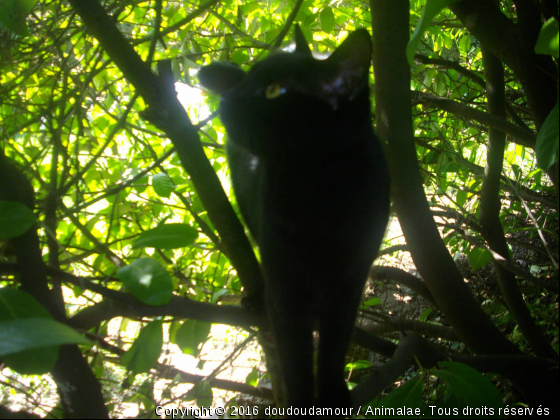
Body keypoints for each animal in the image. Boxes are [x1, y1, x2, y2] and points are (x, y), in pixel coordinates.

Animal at [200, 27, 390, 408]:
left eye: (274, 90)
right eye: (251, 77)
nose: (227, 100)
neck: (320, 196)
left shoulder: (350, 278)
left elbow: (334, 344)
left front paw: (332, 394)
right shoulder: (286, 284)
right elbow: (295, 357)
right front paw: (303, 402)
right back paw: (255, 300)